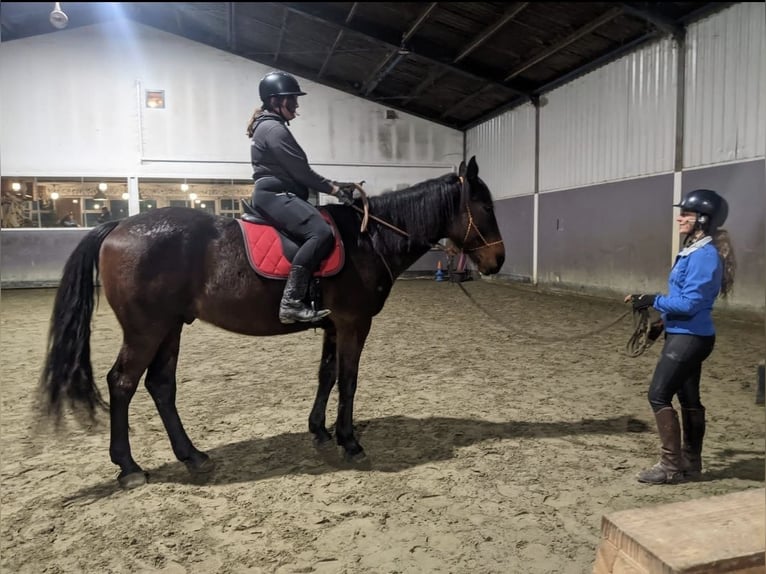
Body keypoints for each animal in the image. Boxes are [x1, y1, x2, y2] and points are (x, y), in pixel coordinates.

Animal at [40, 158, 504, 490]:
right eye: (484, 206)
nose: (497, 261)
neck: (369, 238)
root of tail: (119, 224)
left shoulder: (333, 325)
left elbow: (327, 375)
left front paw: (320, 430)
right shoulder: (354, 324)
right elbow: (349, 380)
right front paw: (349, 441)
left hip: (170, 327)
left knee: (161, 385)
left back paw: (192, 455)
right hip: (146, 330)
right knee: (123, 382)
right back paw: (129, 466)